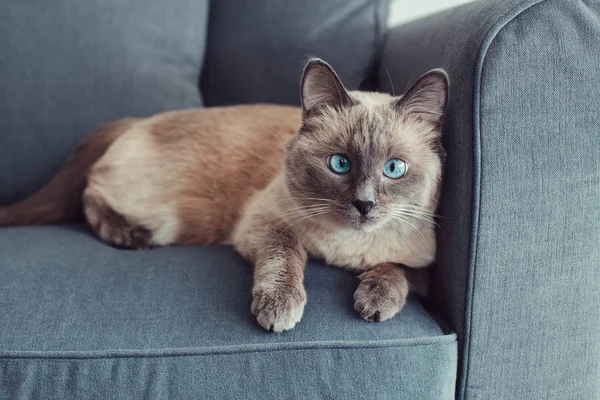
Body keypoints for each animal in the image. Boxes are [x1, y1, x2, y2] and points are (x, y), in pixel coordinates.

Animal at [0, 57, 448, 332]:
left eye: (394, 169)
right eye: (340, 164)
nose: (364, 204)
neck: (343, 251)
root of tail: (136, 119)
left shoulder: (424, 268)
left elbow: (395, 269)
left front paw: (374, 304)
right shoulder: (263, 223)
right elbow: (286, 256)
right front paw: (279, 310)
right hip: (174, 218)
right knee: (90, 196)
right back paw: (129, 237)